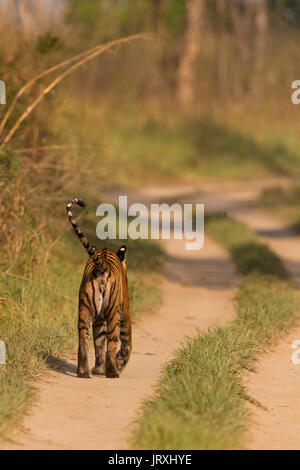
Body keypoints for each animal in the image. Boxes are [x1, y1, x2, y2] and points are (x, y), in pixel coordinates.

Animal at [65, 197, 131, 378]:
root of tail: (101, 266)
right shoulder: (125, 311)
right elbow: (127, 341)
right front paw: (121, 360)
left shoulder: (99, 319)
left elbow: (99, 343)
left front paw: (99, 369)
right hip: (114, 315)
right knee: (112, 343)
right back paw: (113, 372)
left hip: (85, 311)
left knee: (83, 340)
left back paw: (84, 372)